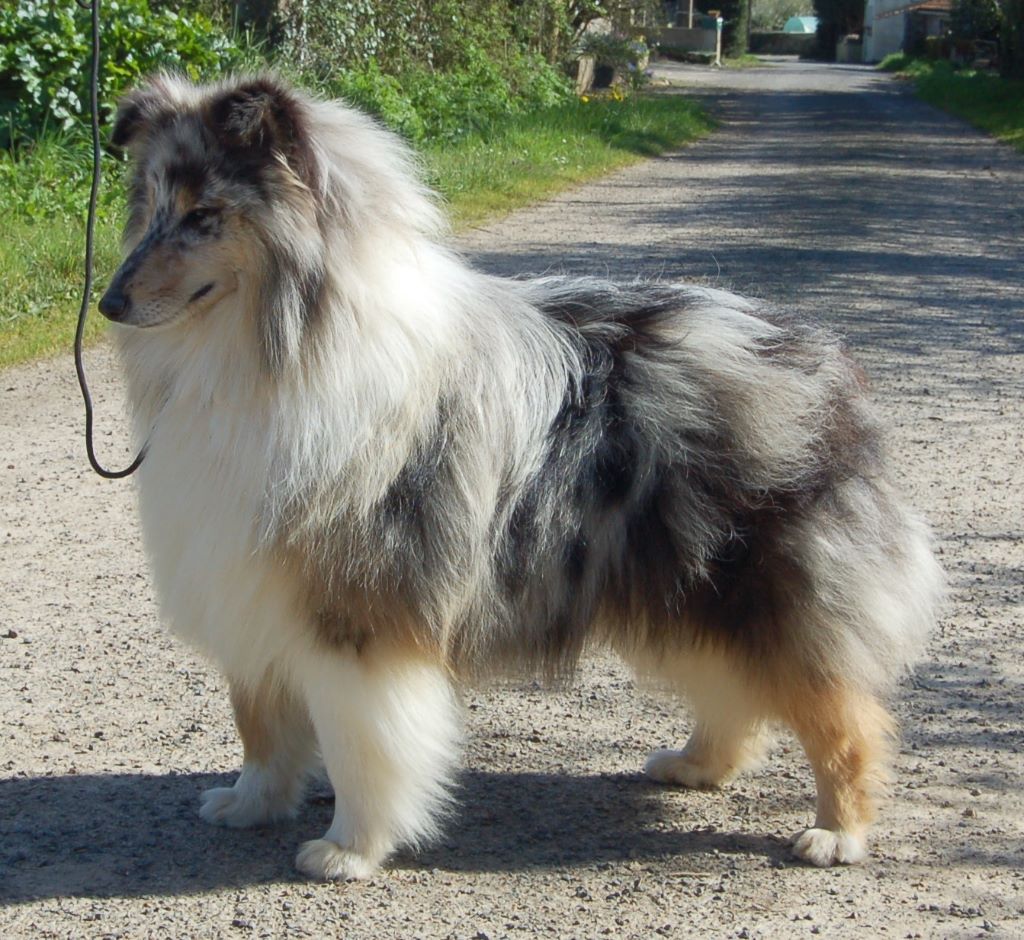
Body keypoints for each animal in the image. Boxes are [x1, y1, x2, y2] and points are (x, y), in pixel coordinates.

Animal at [99, 73, 943, 880]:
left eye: (206, 214)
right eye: (153, 207)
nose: (108, 301)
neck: (270, 348)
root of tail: (818, 360)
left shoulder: (357, 615)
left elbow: (364, 748)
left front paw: (350, 849)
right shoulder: (249, 583)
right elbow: (260, 721)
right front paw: (249, 803)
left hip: (764, 596)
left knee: (844, 720)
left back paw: (837, 833)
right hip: (679, 581)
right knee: (733, 691)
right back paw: (695, 764)